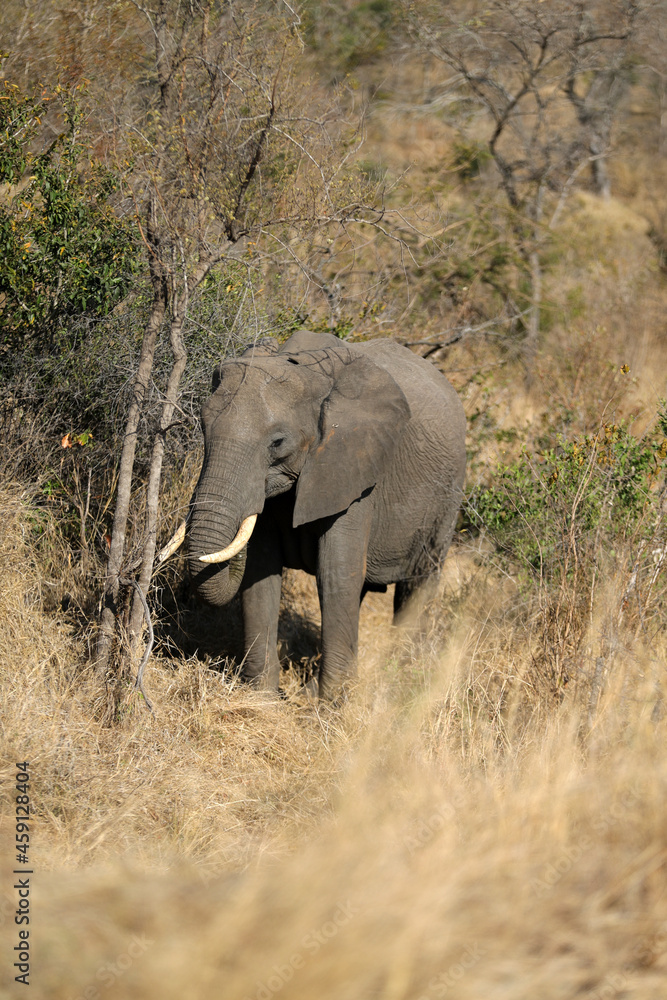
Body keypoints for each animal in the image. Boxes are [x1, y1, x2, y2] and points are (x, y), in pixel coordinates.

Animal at [163, 332, 464, 700]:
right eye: (203, 428)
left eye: (277, 442)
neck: (307, 370)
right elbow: (260, 573)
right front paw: (263, 698)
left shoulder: (354, 467)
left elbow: (336, 573)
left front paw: (332, 705)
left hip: (447, 497)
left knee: (418, 584)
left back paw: (405, 678)